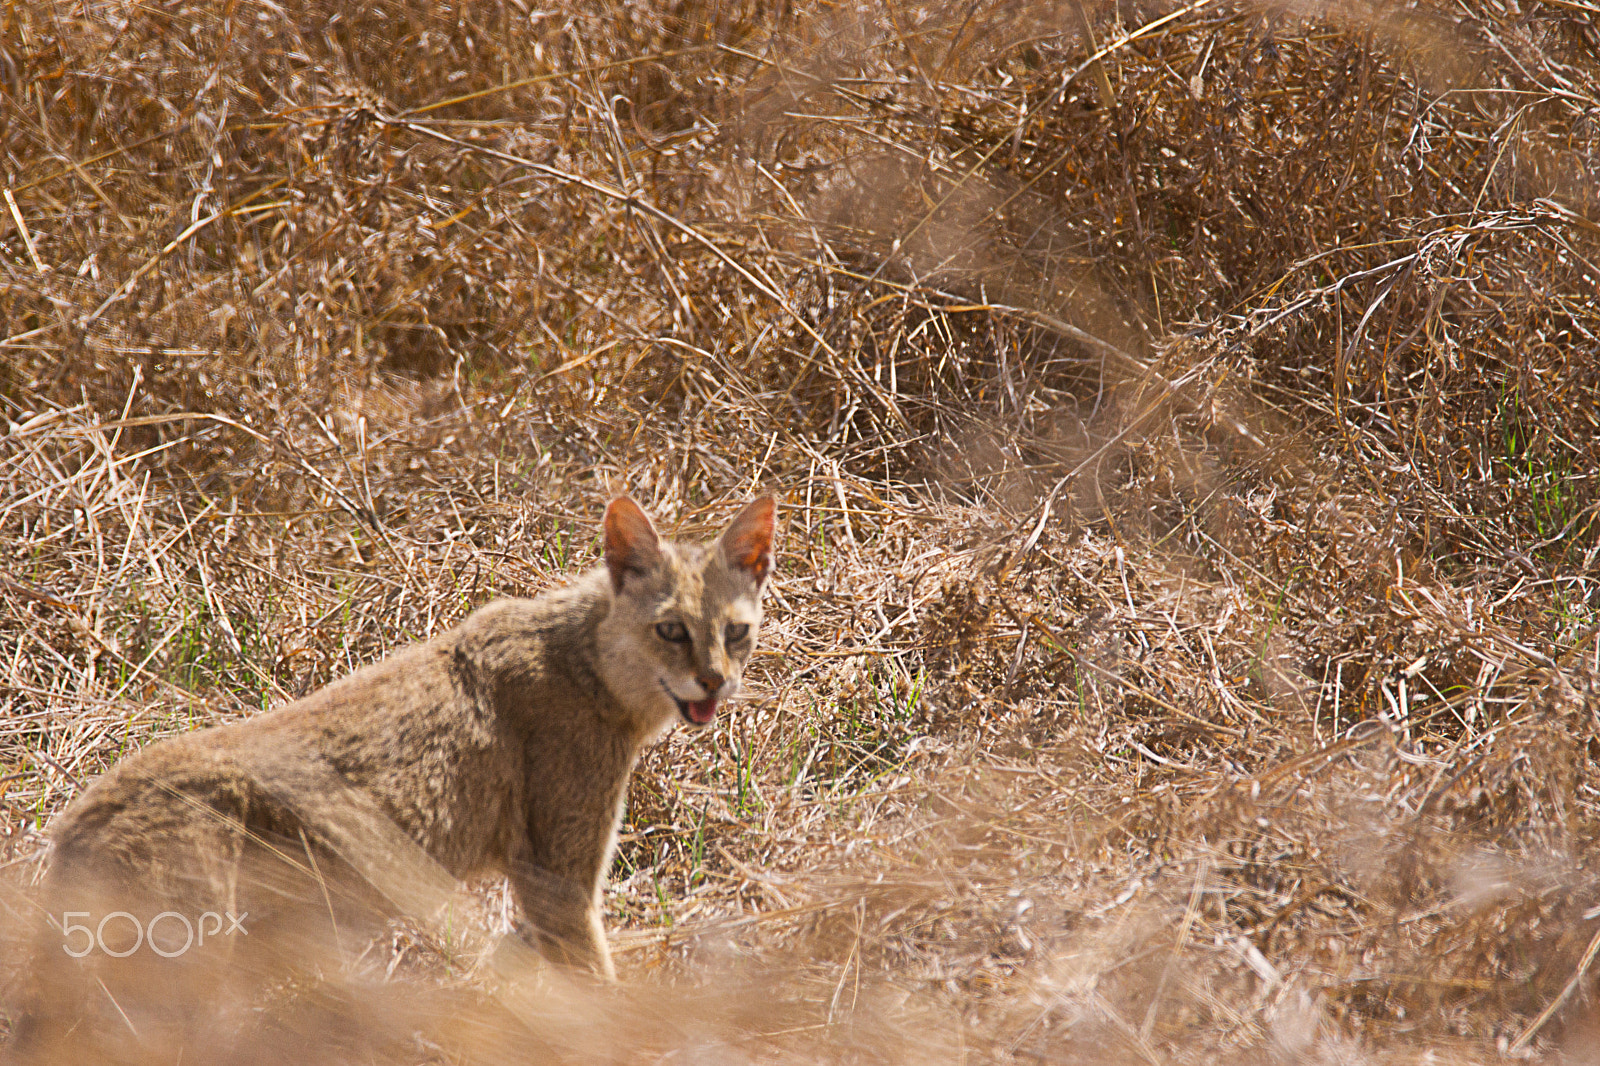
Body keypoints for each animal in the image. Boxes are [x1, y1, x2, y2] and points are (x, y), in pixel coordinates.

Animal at [12, 492, 774, 1056]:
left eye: (736, 632)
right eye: (671, 630)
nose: (714, 681)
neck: (586, 659)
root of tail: (80, 816)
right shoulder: (558, 879)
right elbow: (596, 987)